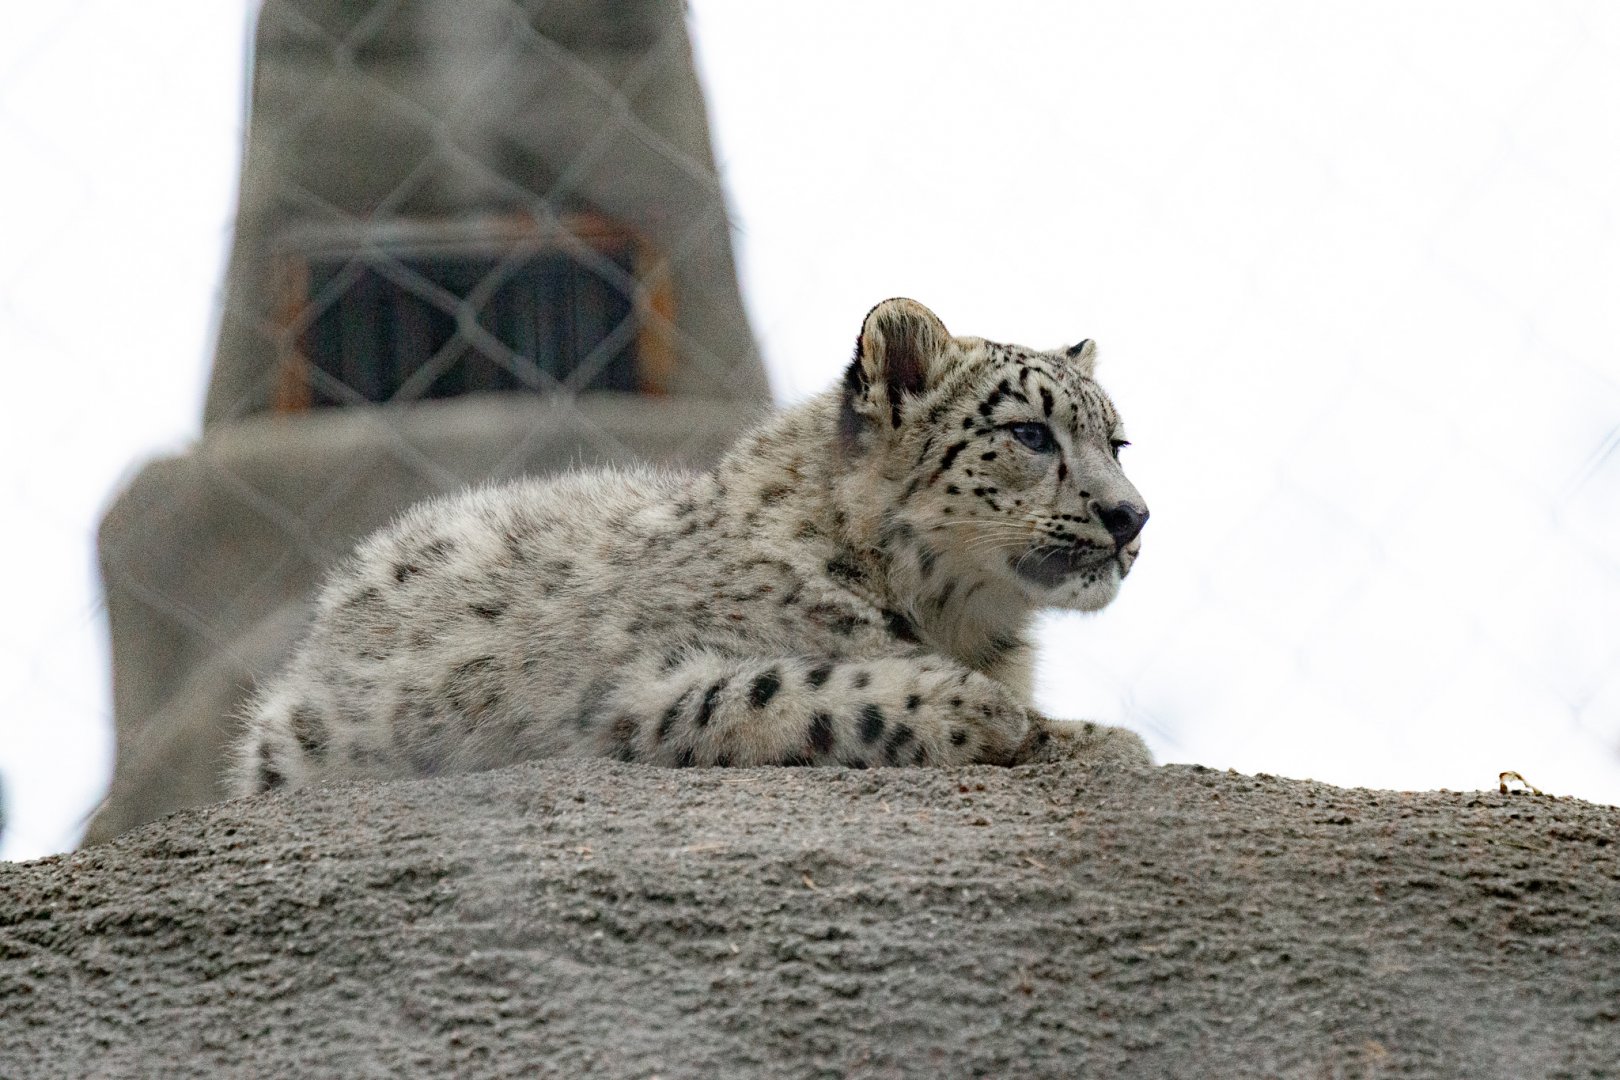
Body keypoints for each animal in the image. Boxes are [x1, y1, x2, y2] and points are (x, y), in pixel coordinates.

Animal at [230, 298, 1151, 795]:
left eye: (1118, 443)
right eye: (1029, 433)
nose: (1131, 516)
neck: (966, 623)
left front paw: (1091, 736)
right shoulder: (636, 693)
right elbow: (784, 687)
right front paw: (981, 709)